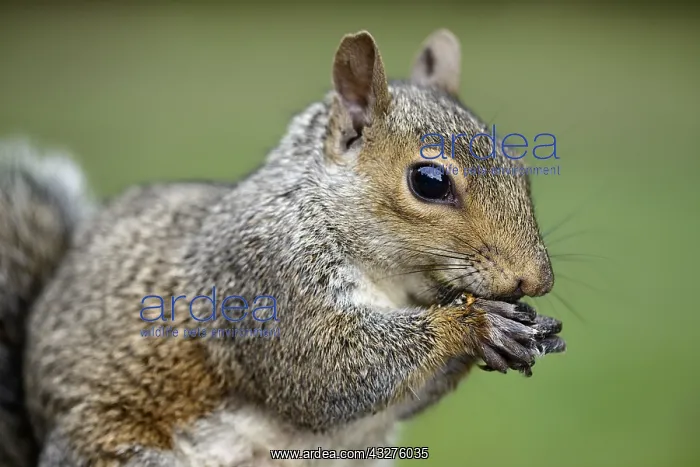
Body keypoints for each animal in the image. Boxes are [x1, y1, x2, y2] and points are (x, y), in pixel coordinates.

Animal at [0, 29, 565, 467]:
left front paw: (526, 329)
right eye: (429, 181)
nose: (536, 279)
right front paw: (475, 324)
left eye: (520, 166)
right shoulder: (263, 276)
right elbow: (326, 368)